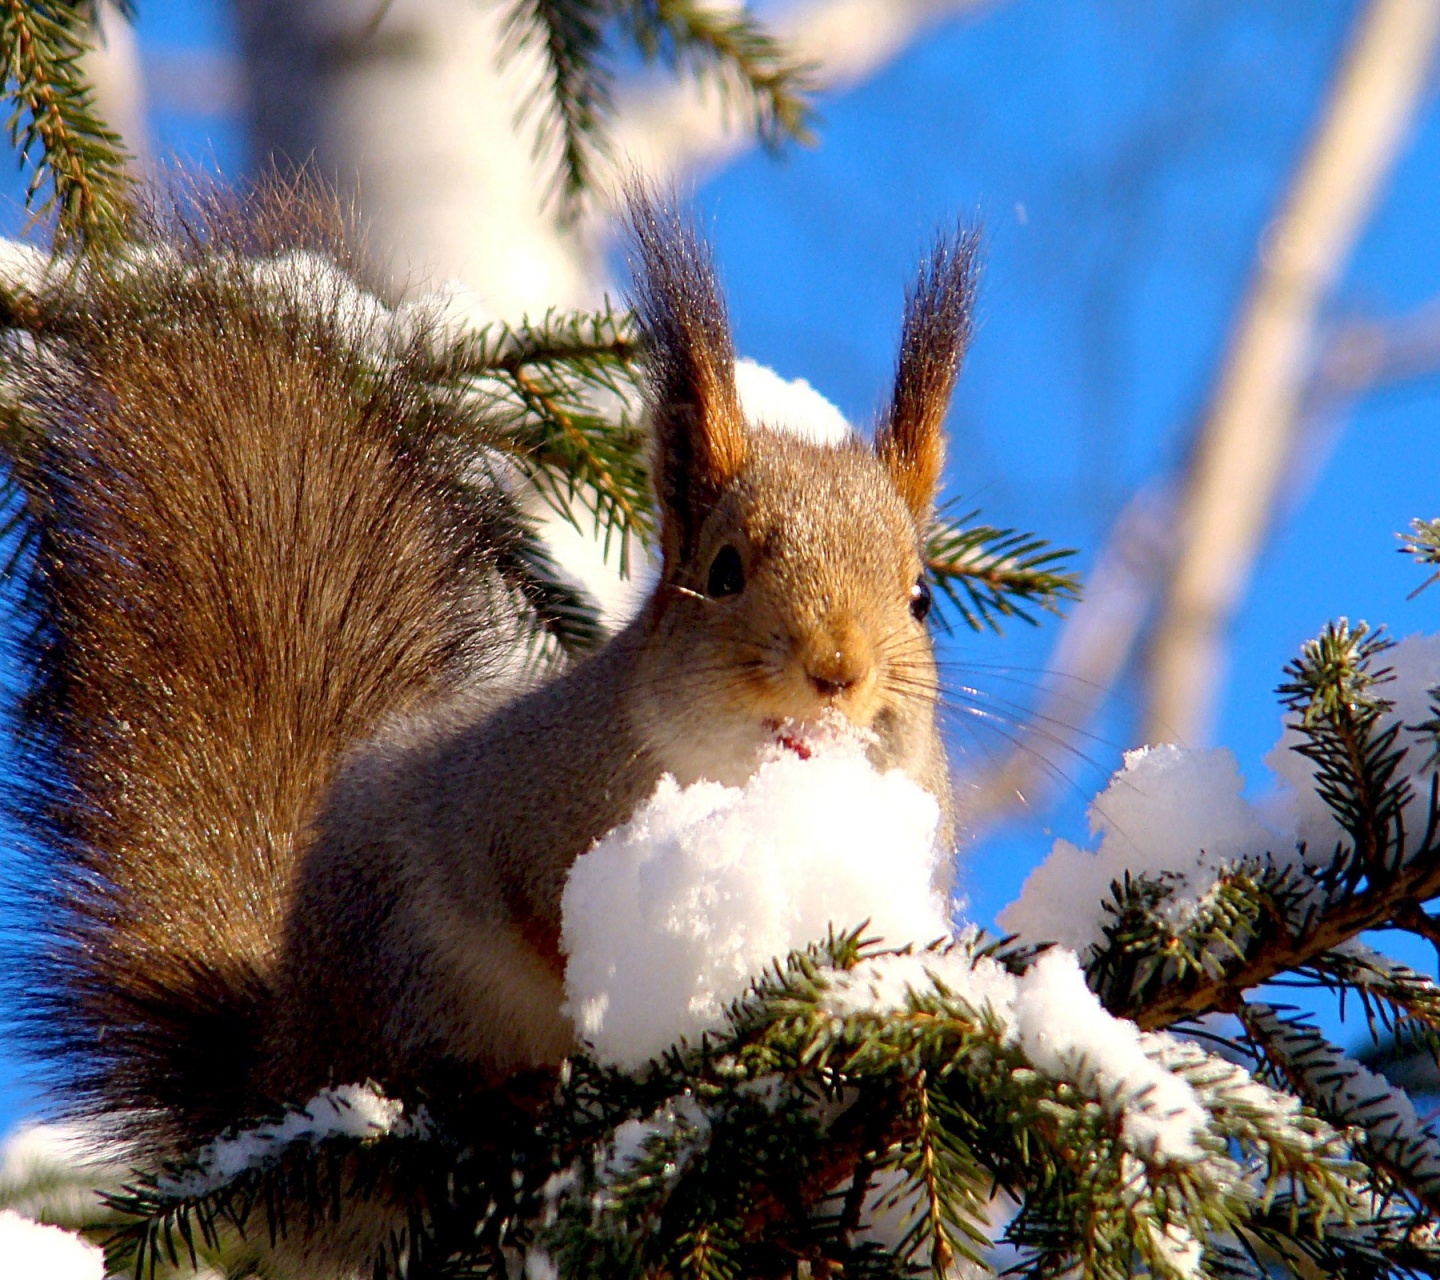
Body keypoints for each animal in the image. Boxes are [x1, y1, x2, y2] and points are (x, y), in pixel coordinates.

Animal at [2, 177, 979, 1267]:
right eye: (723, 572)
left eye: (920, 599)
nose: (837, 671)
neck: (749, 783)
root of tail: (279, 1068)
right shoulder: (519, 815)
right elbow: (542, 925)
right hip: (403, 982)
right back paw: (502, 1113)